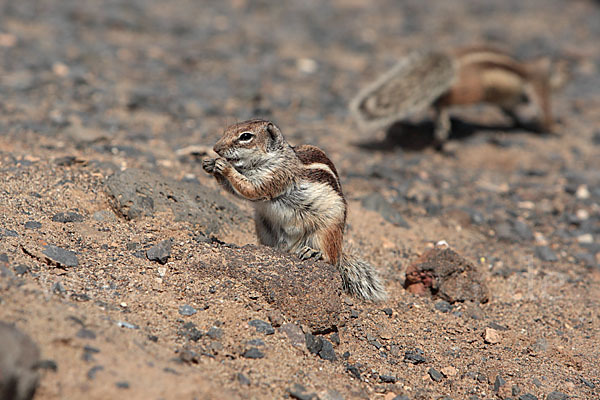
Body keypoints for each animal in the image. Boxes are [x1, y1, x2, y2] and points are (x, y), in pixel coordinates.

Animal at [204, 119, 386, 300]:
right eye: (227, 130)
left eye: (246, 136)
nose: (215, 149)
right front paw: (210, 164)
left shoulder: (276, 177)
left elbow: (250, 188)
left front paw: (224, 166)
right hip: (263, 227)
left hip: (326, 231)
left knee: (331, 259)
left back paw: (314, 253)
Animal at [350, 45, 556, 145]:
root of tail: (453, 62)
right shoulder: (538, 87)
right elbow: (542, 107)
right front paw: (550, 128)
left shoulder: (508, 100)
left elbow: (510, 111)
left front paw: (520, 122)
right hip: (473, 90)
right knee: (444, 100)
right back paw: (443, 122)